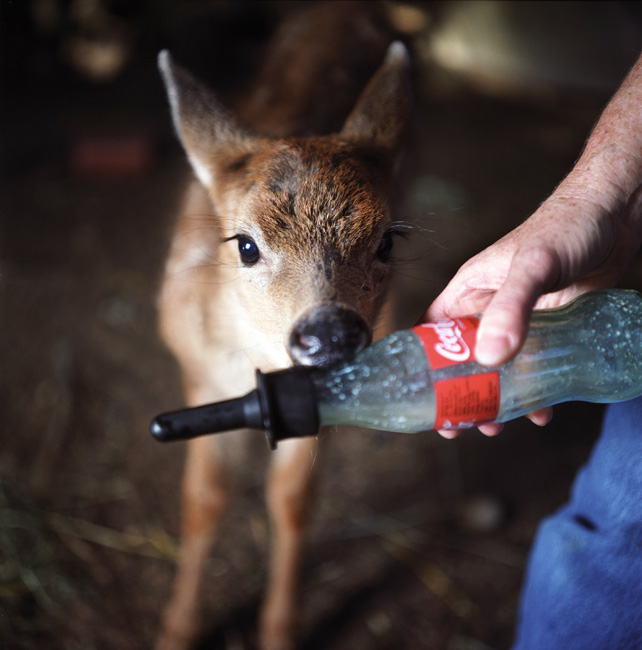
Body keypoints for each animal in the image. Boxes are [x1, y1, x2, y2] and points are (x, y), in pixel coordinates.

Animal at [155, 3, 412, 649]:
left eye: (387, 241)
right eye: (245, 245)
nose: (331, 334)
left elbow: (292, 498)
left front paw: (279, 629)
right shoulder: (198, 373)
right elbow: (204, 497)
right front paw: (177, 627)